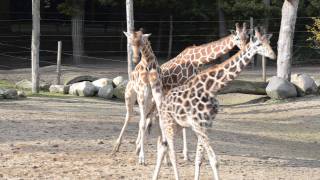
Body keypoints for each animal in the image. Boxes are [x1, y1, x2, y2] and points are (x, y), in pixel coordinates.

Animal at [112, 22, 250, 162]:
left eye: (247, 37)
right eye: (237, 38)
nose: (244, 48)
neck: (199, 60)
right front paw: (187, 154)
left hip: (153, 101)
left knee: (148, 119)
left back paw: (139, 147)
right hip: (134, 95)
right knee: (132, 116)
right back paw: (120, 147)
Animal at [151, 27, 276, 180]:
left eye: (269, 42)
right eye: (258, 44)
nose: (273, 55)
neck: (211, 88)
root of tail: (163, 103)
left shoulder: (206, 125)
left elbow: (200, 159)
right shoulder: (198, 125)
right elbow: (214, 159)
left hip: (177, 125)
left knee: (163, 146)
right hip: (168, 123)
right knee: (171, 151)